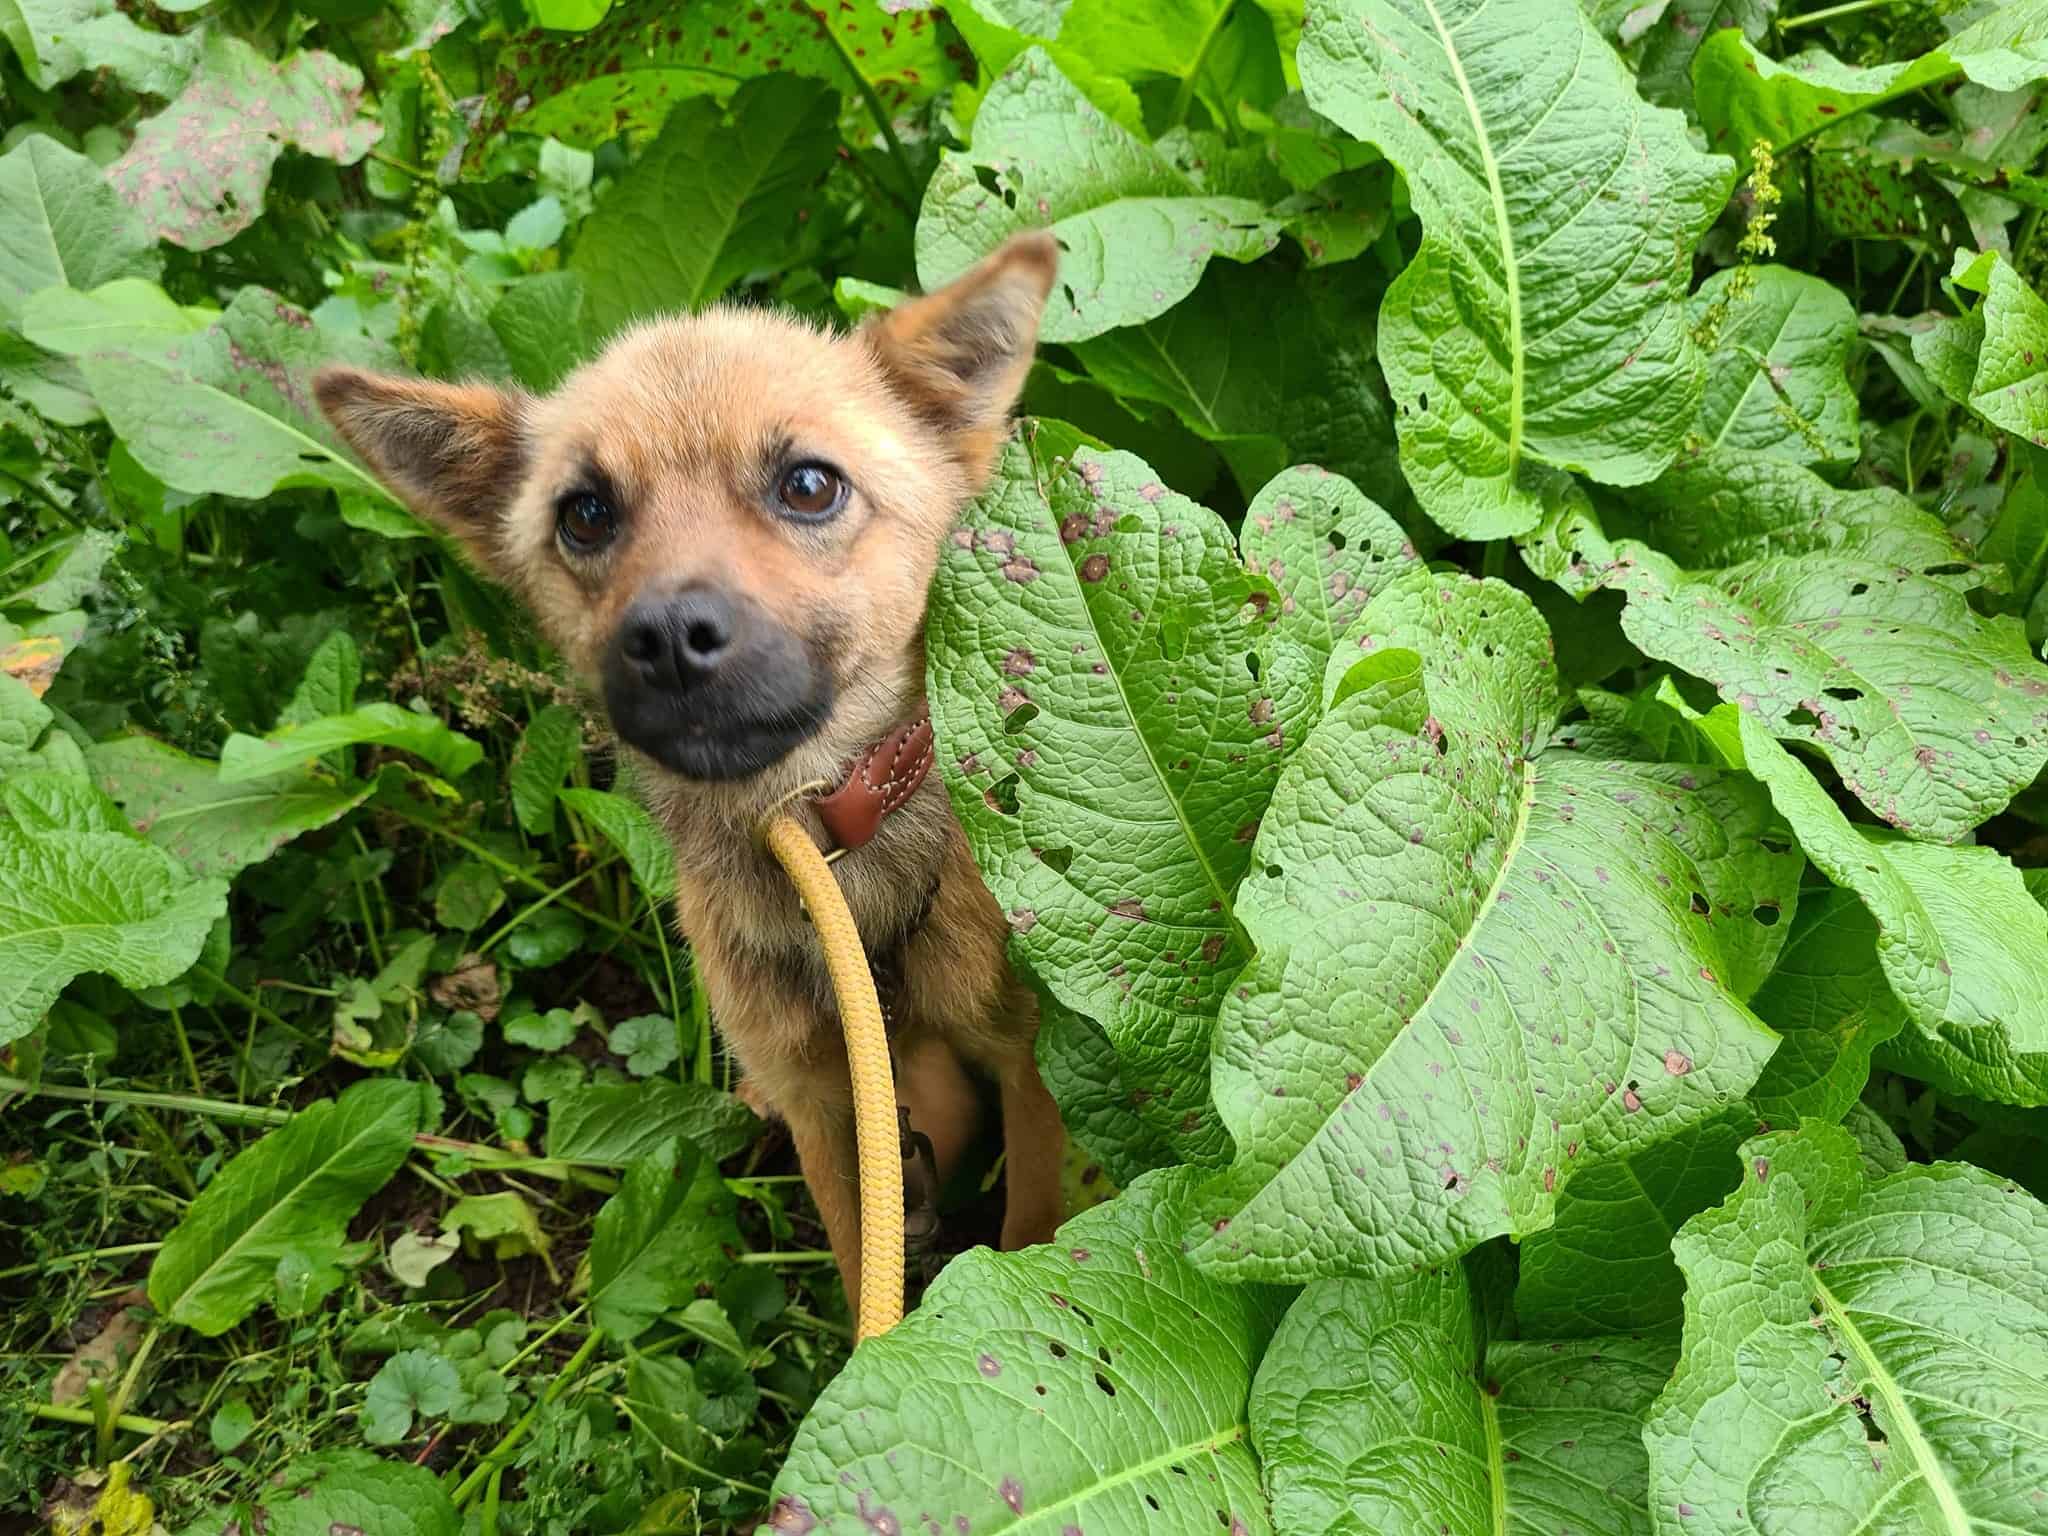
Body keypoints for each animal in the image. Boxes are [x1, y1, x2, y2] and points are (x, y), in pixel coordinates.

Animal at [315, 232, 1066, 1314]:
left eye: (808, 485)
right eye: (585, 514)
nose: (668, 636)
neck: (831, 865)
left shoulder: (1035, 1075)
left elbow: (1036, 1239)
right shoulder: (834, 1117)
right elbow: (864, 1282)